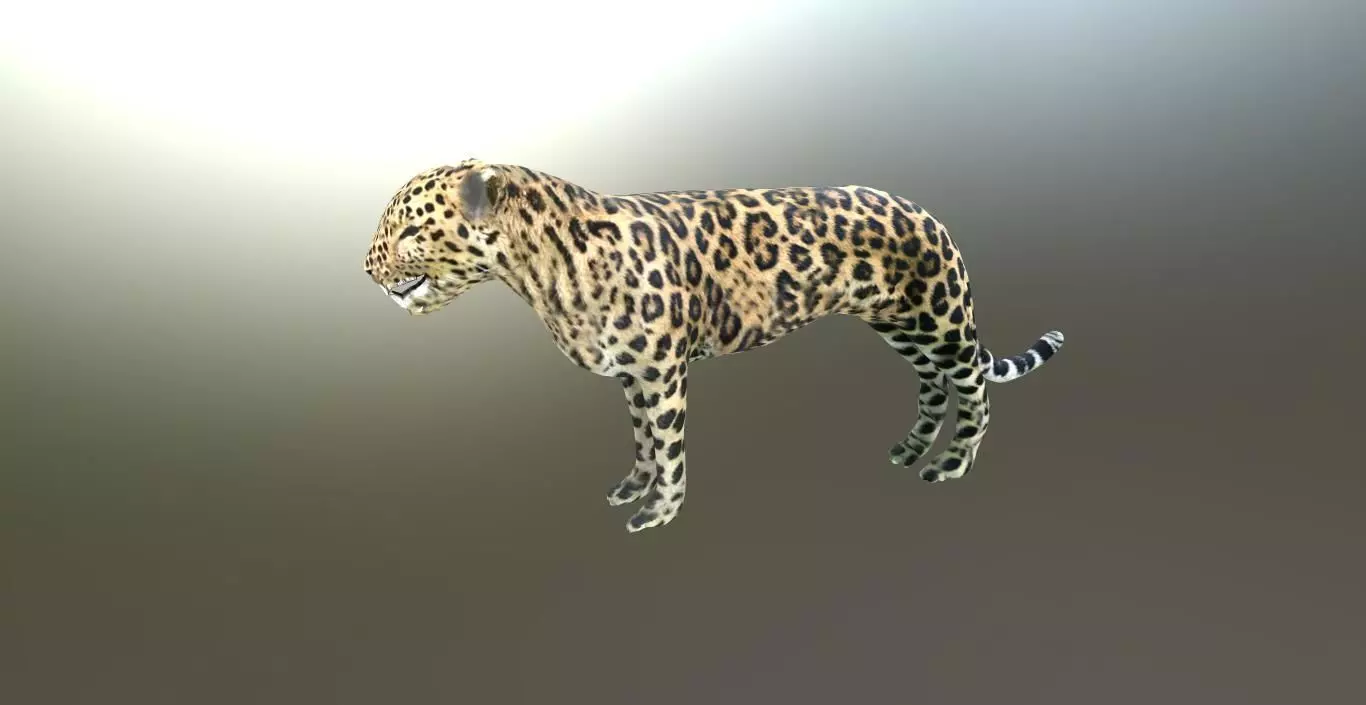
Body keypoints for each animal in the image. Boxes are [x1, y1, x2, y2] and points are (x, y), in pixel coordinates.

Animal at [362, 159, 1066, 533]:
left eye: (411, 230)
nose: (366, 270)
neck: (540, 271)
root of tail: (930, 214)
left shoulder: (663, 371)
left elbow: (669, 448)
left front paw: (660, 512)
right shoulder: (635, 373)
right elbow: (642, 441)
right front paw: (634, 486)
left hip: (938, 317)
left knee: (974, 388)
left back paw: (952, 464)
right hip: (900, 325)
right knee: (931, 384)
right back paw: (911, 448)